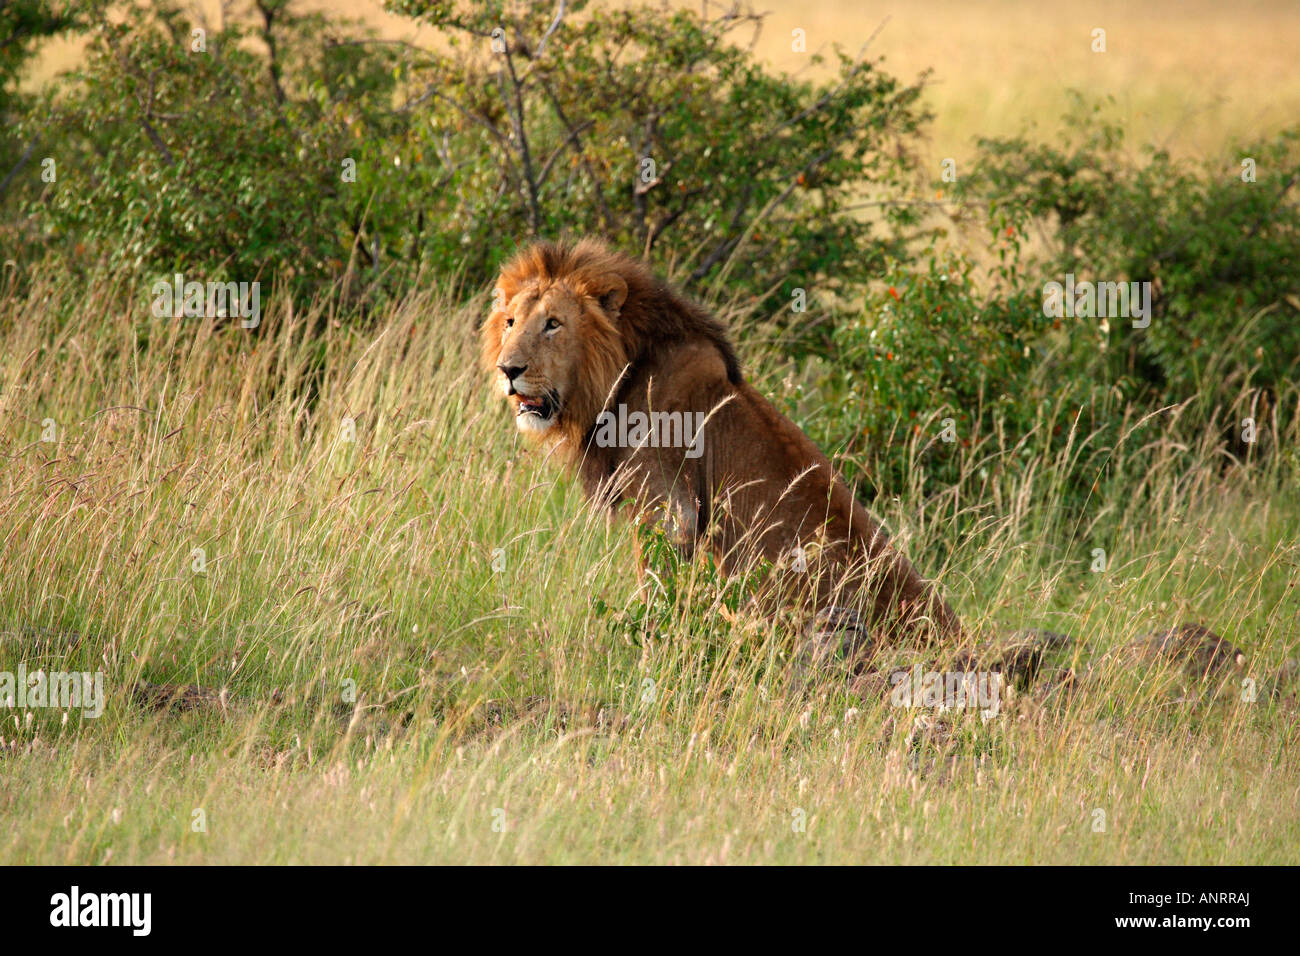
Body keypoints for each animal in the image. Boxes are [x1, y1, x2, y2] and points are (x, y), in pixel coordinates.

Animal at [480, 238, 965, 653]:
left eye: (553, 324)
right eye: (510, 322)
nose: (508, 369)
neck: (620, 373)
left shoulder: (667, 508)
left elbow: (655, 590)